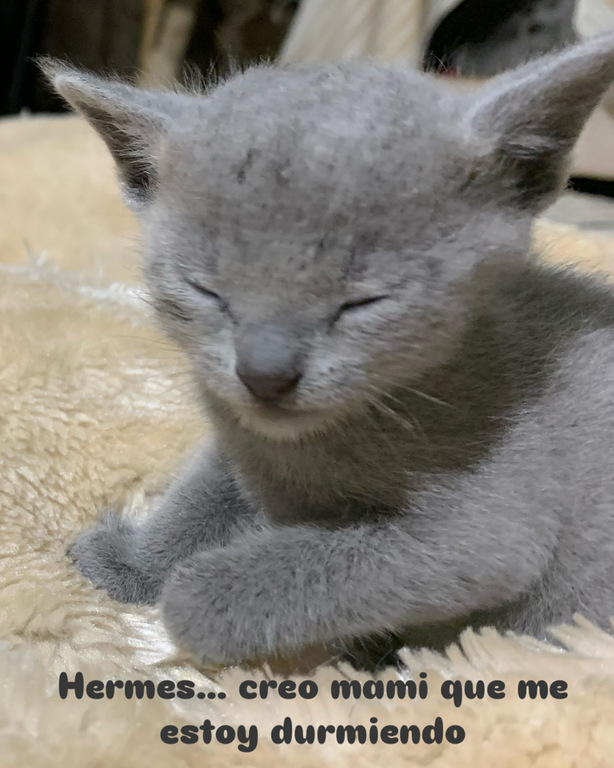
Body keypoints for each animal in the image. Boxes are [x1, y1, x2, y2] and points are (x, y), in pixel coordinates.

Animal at [41, 32, 614, 670]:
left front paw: (187, 600)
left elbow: (324, 568)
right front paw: (134, 565)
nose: (264, 373)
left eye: (361, 301)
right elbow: (200, 493)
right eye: (207, 290)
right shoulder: (238, 437)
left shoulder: (490, 528)